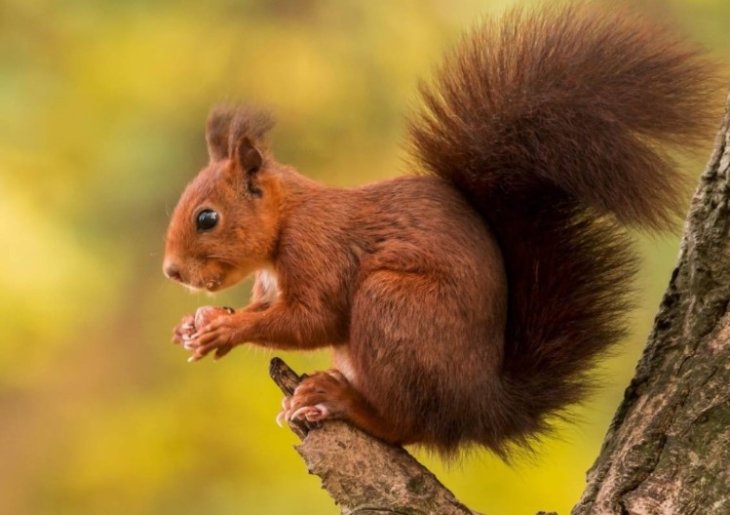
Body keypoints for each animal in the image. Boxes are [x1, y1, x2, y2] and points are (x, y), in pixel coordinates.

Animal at [163, 4, 718, 456]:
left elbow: (311, 320)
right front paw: (199, 321)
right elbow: (266, 309)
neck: (287, 222)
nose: (171, 272)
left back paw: (341, 399)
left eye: (207, 218)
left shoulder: (319, 250)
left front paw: (225, 329)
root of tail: (478, 407)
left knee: (405, 425)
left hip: (395, 307)